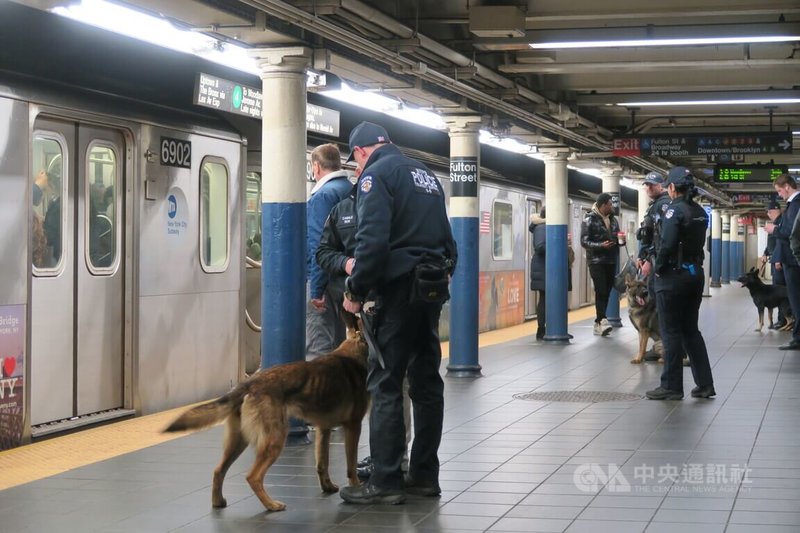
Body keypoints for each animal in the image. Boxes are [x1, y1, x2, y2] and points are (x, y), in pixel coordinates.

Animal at [168, 312, 372, 512]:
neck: (358, 345)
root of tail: (249, 383)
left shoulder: (324, 429)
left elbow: (322, 462)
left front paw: (327, 486)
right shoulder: (353, 426)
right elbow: (351, 464)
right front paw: (355, 487)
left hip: (239, 441)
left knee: (219, 470)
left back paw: (218, 502)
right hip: (275, 439)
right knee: (253, 476)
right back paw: (271, 505)